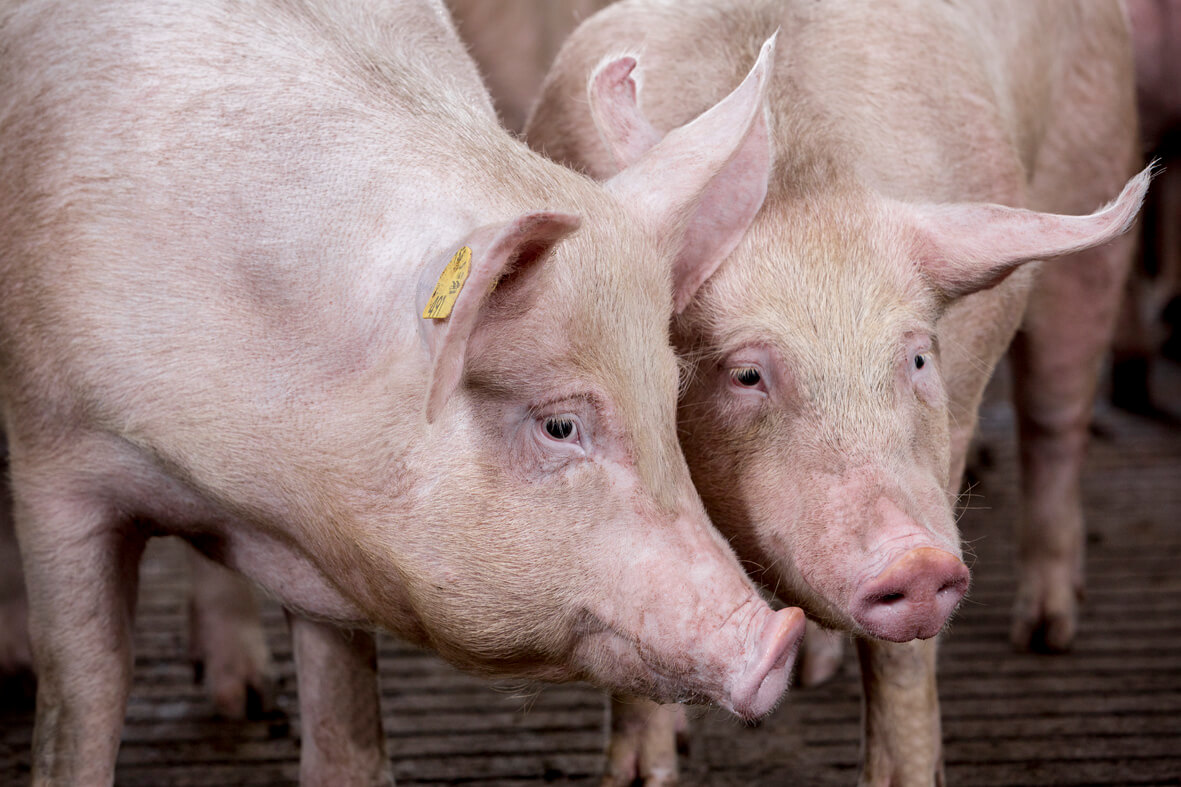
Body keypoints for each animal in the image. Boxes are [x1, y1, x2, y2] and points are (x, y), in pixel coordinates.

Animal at [0, 3, 812, 779]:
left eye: (666, 397)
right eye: (558, 425)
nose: (780, 635)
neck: (238, 482)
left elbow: (346, 728)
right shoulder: (51, 459)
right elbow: (89, 683)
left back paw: (245, 695)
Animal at [529, 0, 1152, 779]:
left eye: (917, 358)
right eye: (746, 373)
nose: (917, 561)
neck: (801, 179)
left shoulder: (946, 443)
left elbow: (903, 660)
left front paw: (903, 777)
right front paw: (642, 775)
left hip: (1091, 174)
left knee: (1055, 419)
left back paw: (1046, 631)